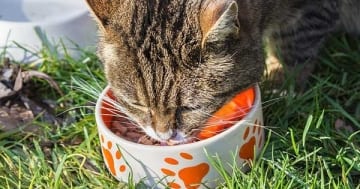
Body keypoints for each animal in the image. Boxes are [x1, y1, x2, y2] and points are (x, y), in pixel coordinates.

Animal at [85, 0, 360, 142]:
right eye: (137, 104)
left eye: (190, 108)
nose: (164, 137)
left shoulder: (313, 9)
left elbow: (294, 44)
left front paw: (281, 84)